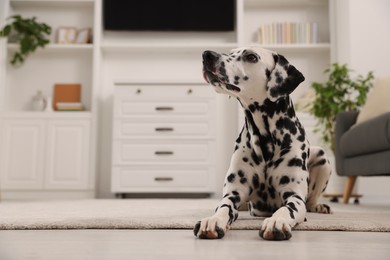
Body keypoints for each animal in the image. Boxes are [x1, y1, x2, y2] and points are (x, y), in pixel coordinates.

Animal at [193, 45, 330, 241]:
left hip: (322, 157)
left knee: (311, 201)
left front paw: (276, 221)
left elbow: (286, 209)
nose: (207, 55)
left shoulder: (294, 196)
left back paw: (319, 206)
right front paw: (213, 220)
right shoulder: (233, 193)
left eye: (251, 57)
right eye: (231, 52)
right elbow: (223, 207)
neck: (266, 139)